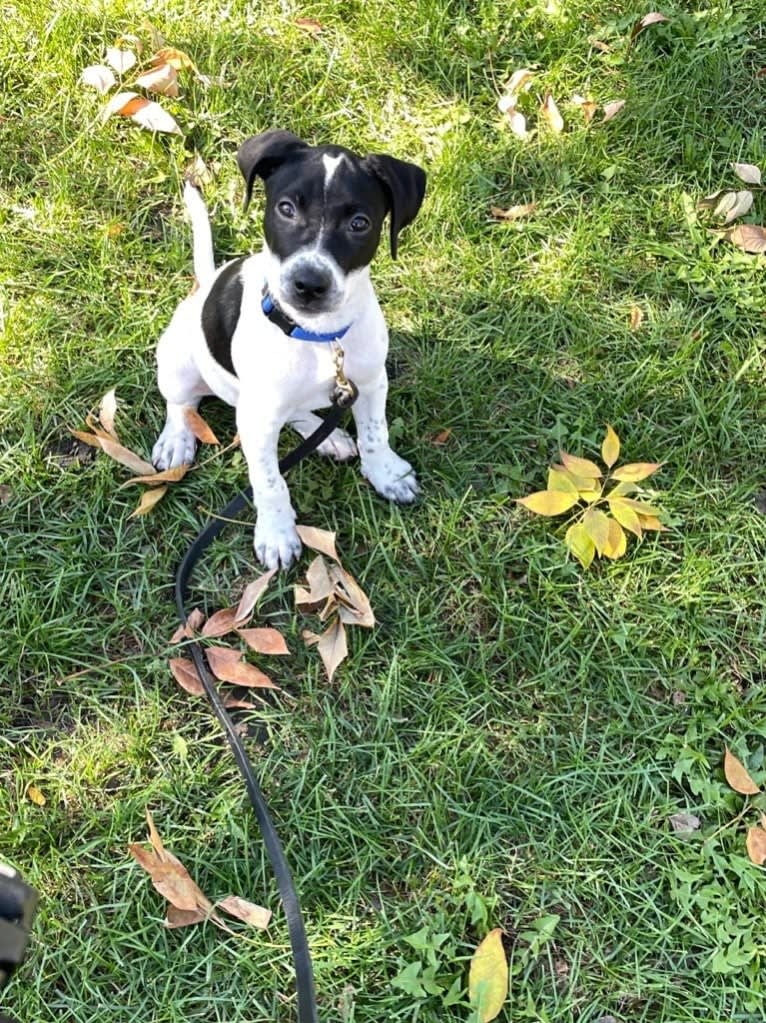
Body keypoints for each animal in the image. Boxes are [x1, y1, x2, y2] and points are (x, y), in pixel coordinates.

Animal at [149, 129, 423, 568]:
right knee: (181, 404)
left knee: (299, 413)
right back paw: (177, 439)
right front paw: (276, 533)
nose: (309, 284)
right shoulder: (257, 420)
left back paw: (327, 436)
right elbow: (269, 480)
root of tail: (204, 284)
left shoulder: (370, 382)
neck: (318, 336)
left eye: (359, 223)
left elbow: (375, 433)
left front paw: (386, 473)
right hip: (179, 363)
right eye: (286, 209)